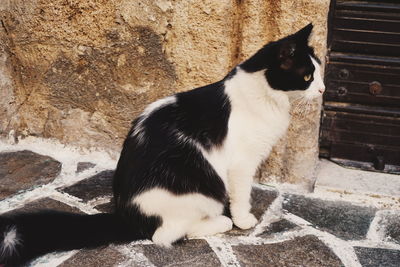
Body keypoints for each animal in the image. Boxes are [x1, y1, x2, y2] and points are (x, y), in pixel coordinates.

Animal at [0, 23, 324, 266]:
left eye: (319, 72)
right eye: (308, 76)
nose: (322, 89)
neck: (265, 95)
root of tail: (128, 216)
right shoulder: (241, 164)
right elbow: (241, 195)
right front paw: (244, 219)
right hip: (200, 193)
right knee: (165, 235)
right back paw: (221, 222)